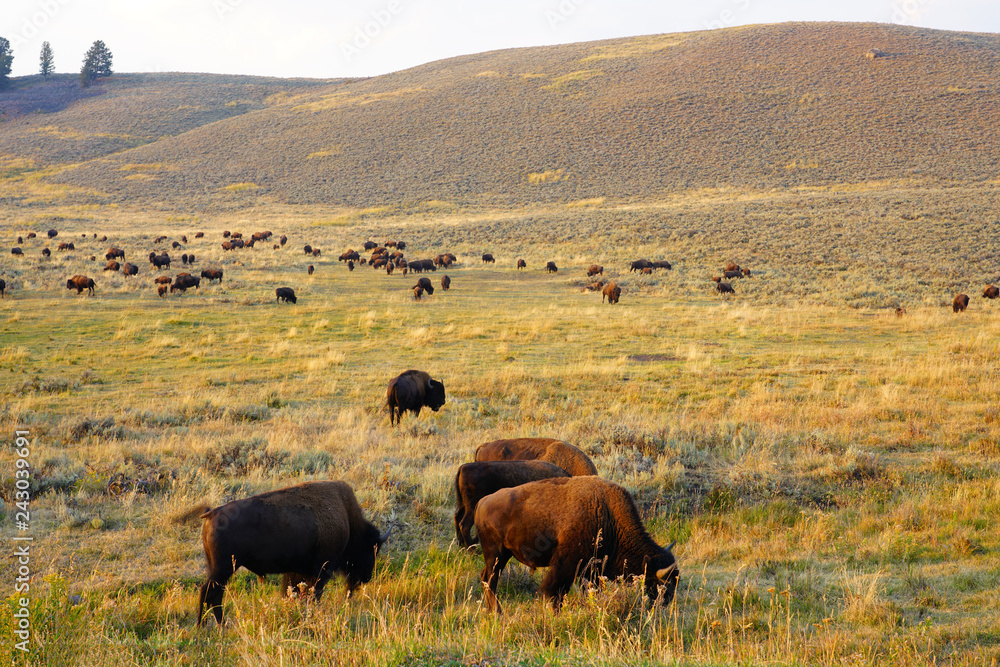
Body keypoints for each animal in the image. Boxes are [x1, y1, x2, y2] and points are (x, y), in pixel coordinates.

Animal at [197, 480, 388, 628]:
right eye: (371, 550)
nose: (366, 578)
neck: (348, 519)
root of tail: (213, 513)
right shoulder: (322, 571)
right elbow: (314, 594)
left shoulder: (297, 571)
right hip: (224, 569)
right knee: (209, 592)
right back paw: (206, 626)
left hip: (217, 568)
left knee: (214, 594)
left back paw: (214, 625)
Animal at [476, 478, 680, 612]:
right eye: (662, 584)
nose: (664, 604)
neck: (608, 516)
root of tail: (482, 502)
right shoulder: (566, 564)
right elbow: (554, 591)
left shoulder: (592, 569)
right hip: (496, 553)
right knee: (490, 578)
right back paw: (497, 611)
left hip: (502, 555)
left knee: (488, 578)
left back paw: (492, 610)